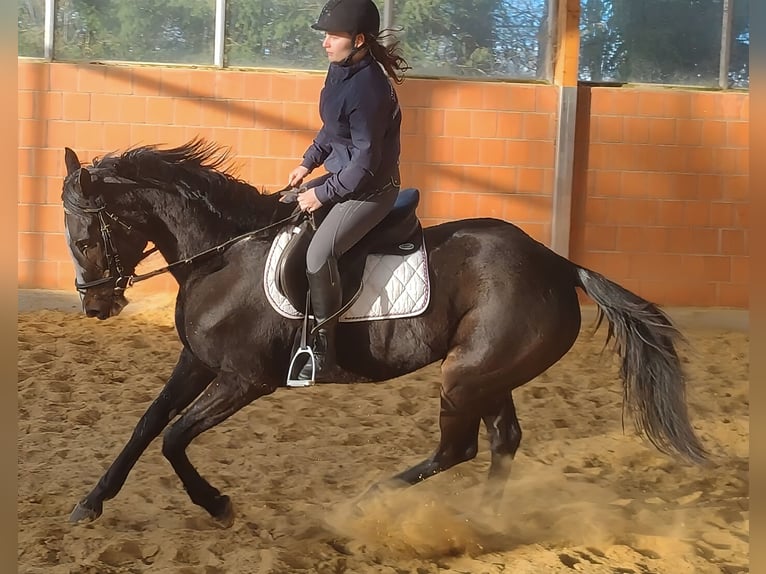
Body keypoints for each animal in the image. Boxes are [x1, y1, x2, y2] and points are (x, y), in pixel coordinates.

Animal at [60, 139, 708, 527]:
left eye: (85, 237)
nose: (96, 306)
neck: (222, 257)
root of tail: (558, 263)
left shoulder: (245, 379)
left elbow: (174, 437)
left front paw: (217, 504)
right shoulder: (197, 361)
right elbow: (148, 424)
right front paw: (91, 502)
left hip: (465, 375)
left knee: (459, 448)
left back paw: (365, 502)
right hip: (488, 372)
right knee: (502, 440)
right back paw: (481, 522)